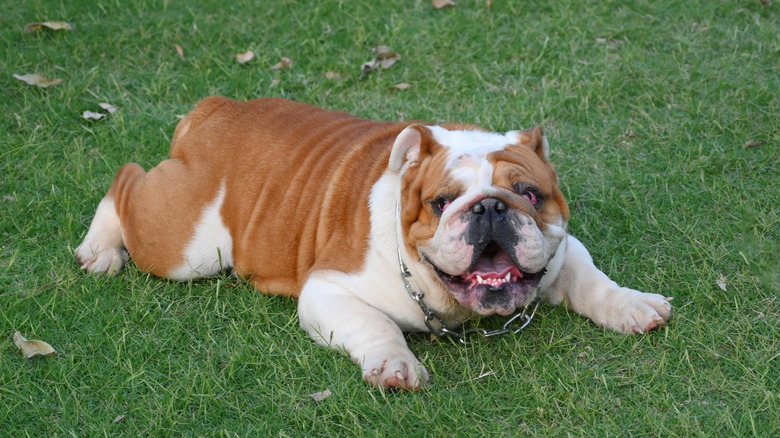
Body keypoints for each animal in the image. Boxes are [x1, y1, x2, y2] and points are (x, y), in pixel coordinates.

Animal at [77, 96, 672, 390]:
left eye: (529, 193)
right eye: (441, 202)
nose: (490, 207)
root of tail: (214, 106)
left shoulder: (560, 249)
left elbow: (592, 280)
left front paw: (633, 305)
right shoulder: (329, 291)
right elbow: (376, 326)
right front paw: (395, 365)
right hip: (187, 245)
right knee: (125, 181)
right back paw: (100, 250)